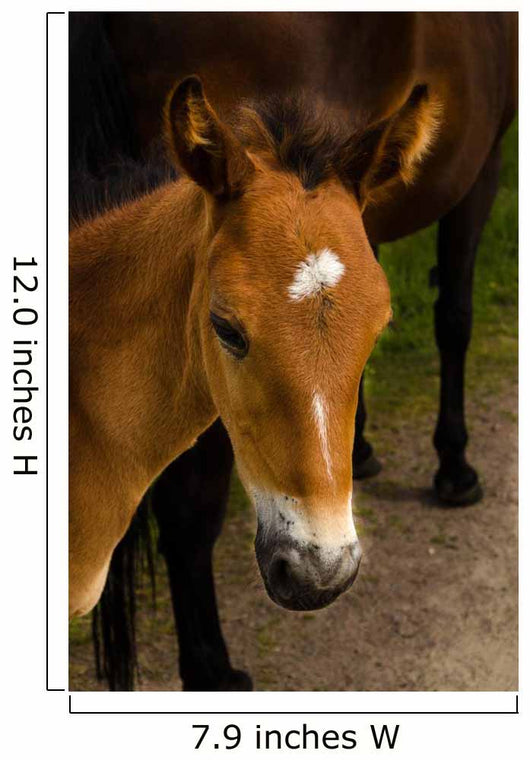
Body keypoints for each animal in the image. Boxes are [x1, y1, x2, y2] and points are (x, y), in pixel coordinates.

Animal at [69, 11, 517, 690]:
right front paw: (455, 467)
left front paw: (363, 447)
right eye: (225, 328)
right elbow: (455, 318)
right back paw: (213, 670)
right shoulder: (482, 169)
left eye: (380, 326)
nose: (320, 571)